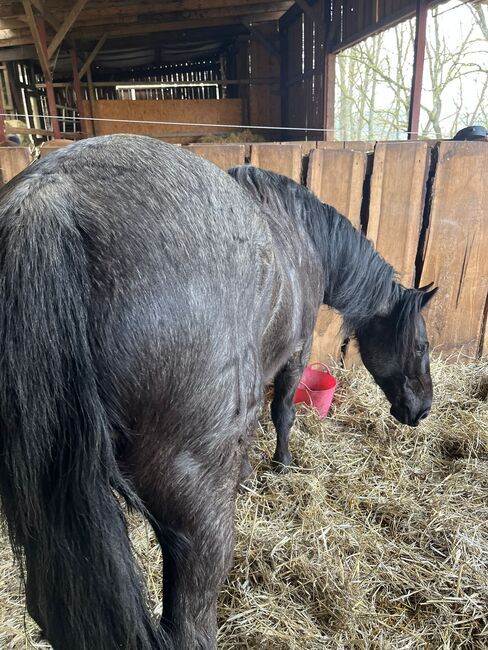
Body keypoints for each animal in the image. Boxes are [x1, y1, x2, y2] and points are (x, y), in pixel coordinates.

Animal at [0, 133, 436, 648]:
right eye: (423, 344)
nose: (422, 409)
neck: (297, 236)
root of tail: (48, 202)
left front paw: (247, 474)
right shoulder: (295, 353)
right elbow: (283, 413)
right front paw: (281, 466)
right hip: (196, 518)